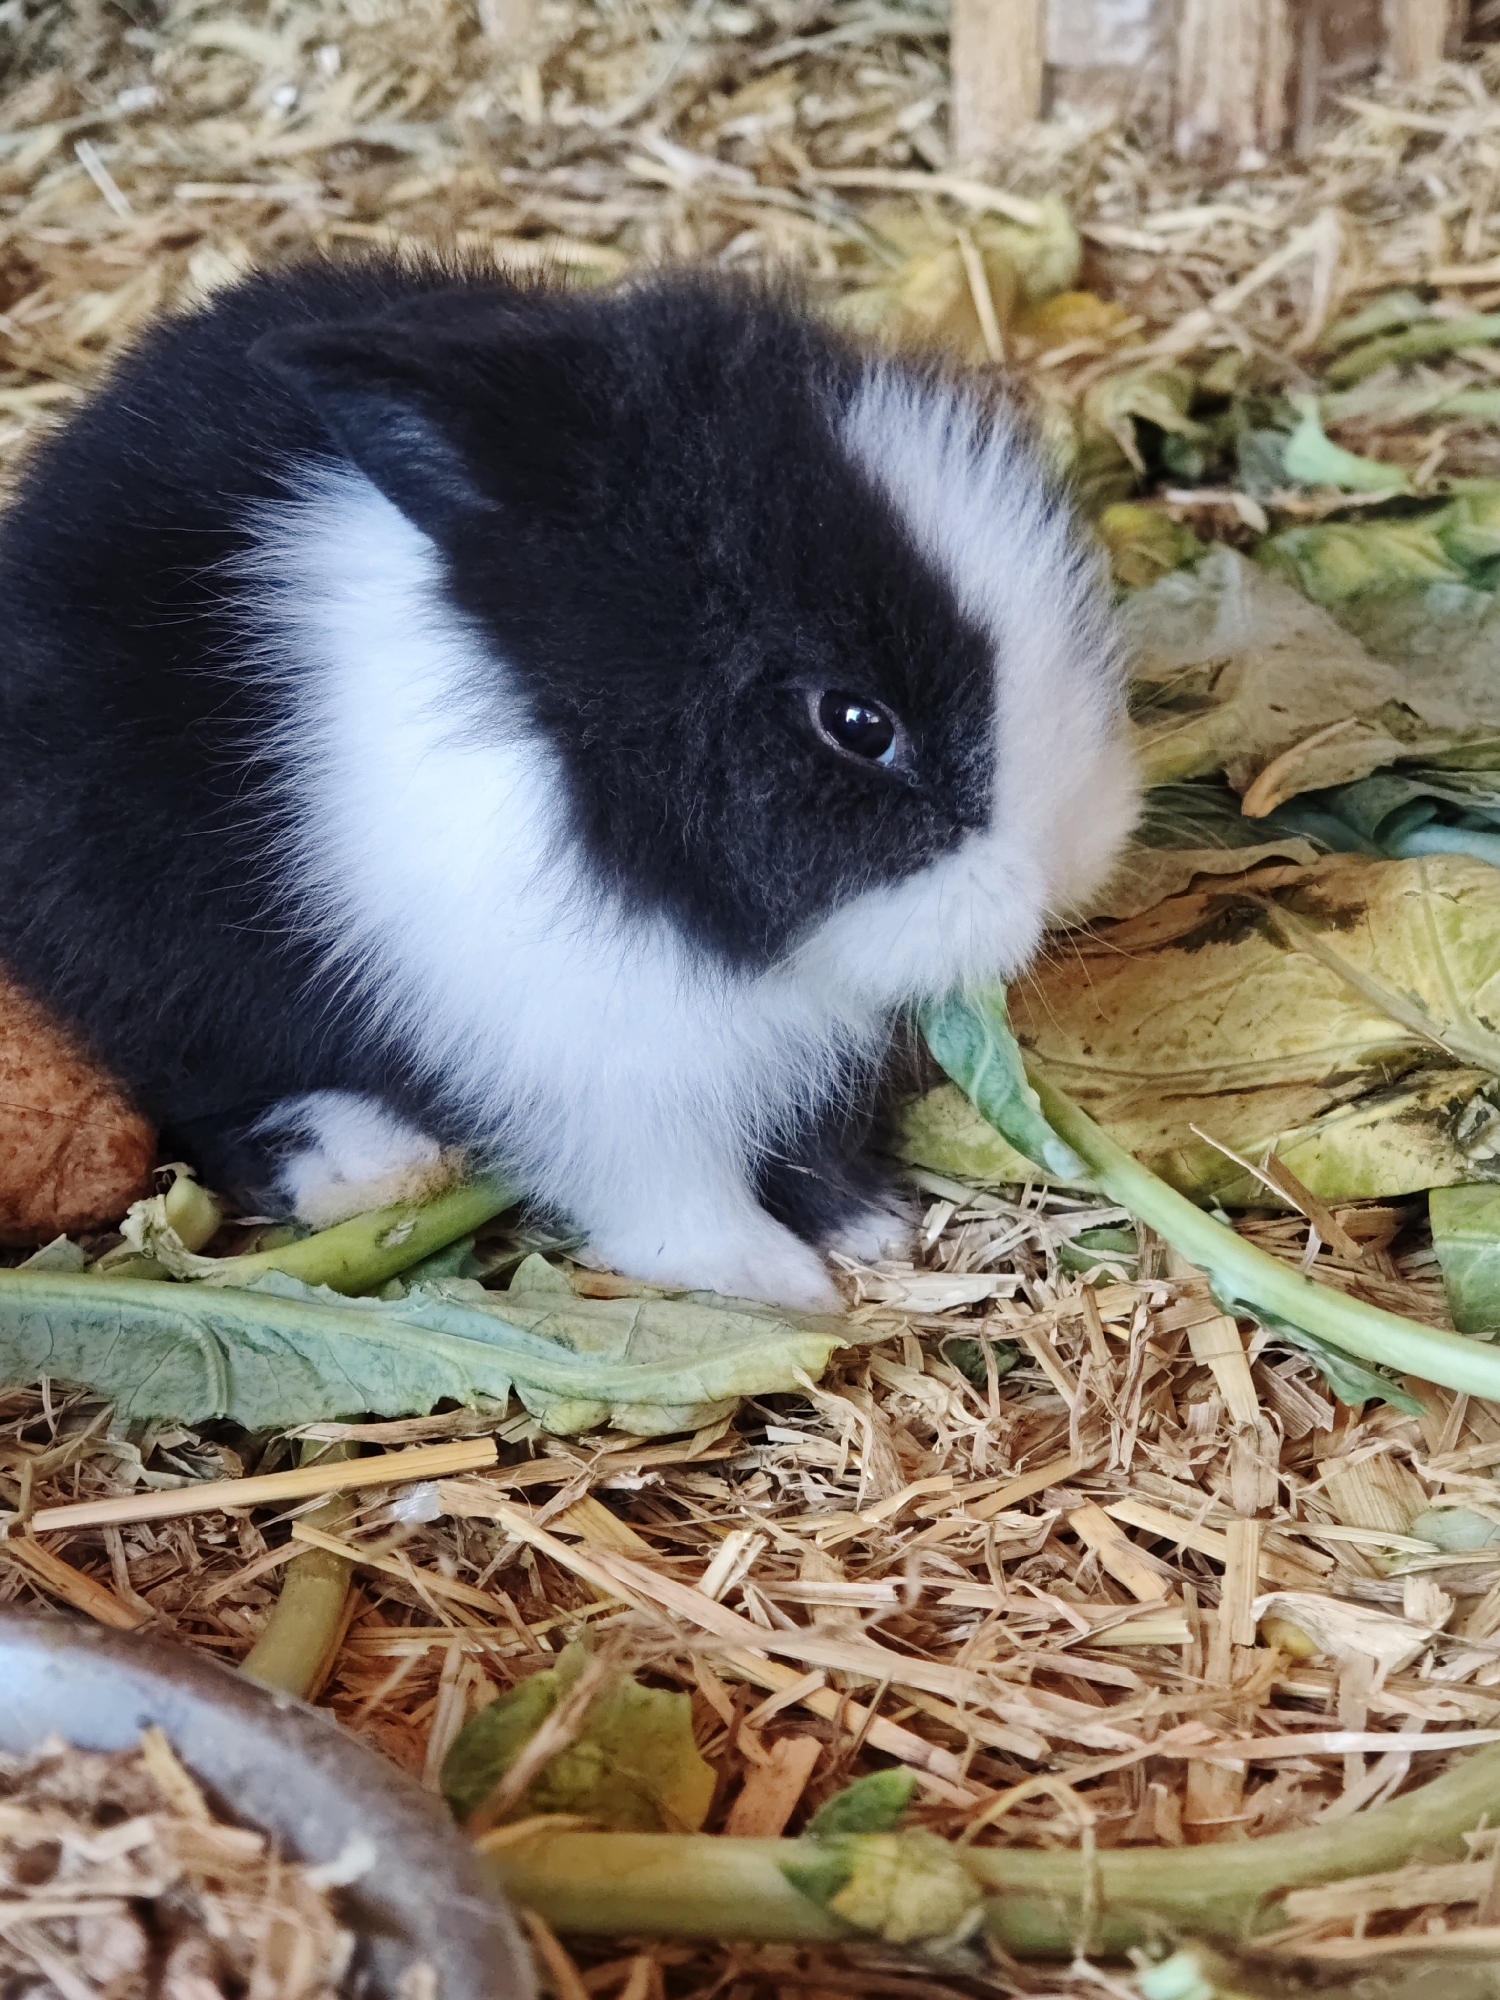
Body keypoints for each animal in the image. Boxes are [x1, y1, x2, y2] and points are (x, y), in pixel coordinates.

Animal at [0, 255, 1137, 1311]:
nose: (1071, 865)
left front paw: (870, 1225)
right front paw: (780, 1286)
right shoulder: (597, 1068)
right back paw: (363, 1162)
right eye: (856, 722)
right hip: (149, 944)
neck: (584, 776)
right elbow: (670, 1199)